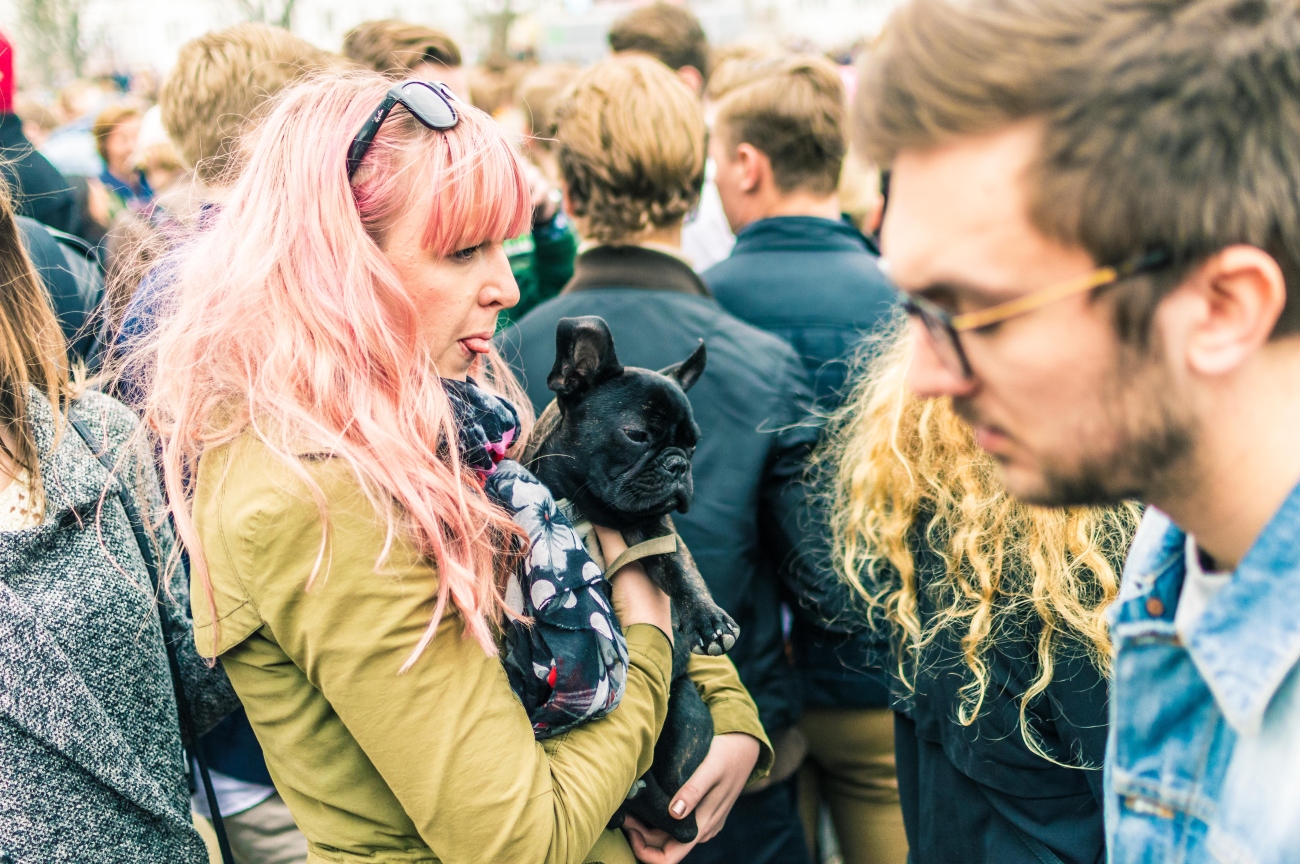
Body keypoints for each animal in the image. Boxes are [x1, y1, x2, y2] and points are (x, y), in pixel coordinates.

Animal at [520, 313, 743, 836]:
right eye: (638, 435)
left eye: (693, 445)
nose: (678, 464)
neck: (586, 507)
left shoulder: (658, 530)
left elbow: (681, 569)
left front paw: (710, 620)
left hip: (683, 714)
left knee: (683, 818)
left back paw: (642, 797)